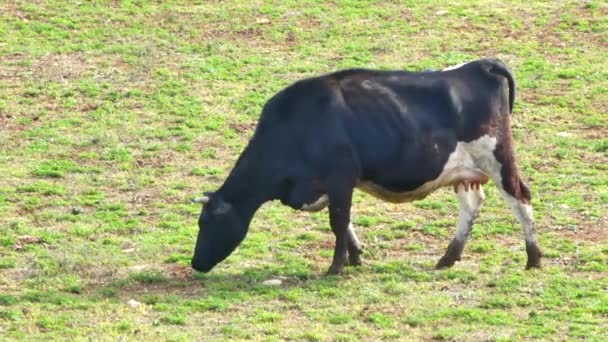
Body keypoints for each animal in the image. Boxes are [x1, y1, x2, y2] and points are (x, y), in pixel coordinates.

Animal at [190, 58, 540, 276]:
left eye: (206, 223)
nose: (195, 263)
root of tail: (480, 64)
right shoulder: (332, 185)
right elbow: (344, 224)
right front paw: (355, 257)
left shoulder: (340, 177)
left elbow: (338, 221)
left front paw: (335, 268)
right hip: (464, 171)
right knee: (471, 205)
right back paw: (448, 258)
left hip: (498, 158)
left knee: (521, 199)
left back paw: (533, 258)